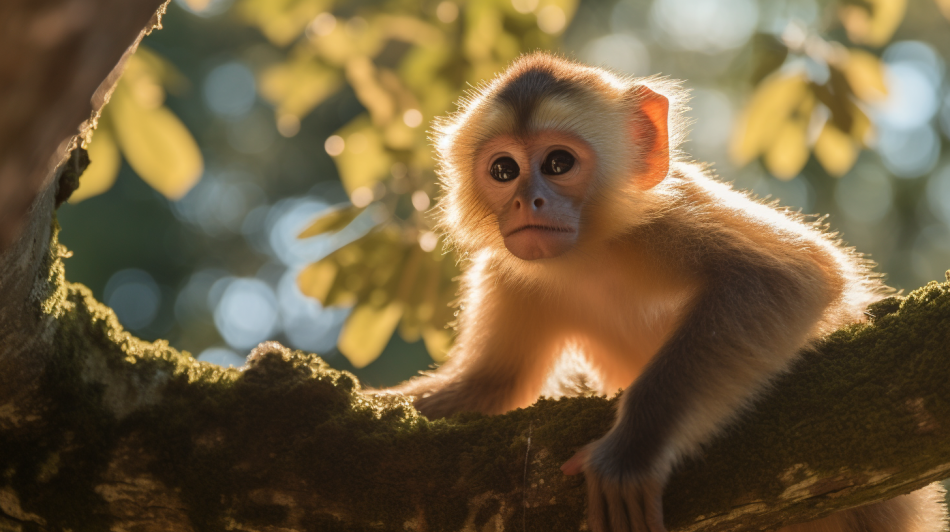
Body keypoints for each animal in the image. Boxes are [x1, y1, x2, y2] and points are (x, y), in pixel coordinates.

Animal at [384, 53, 948, 532]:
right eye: (504, 171)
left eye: (558, 163)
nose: (529, 201)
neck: (588, 255)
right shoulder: (507, 272)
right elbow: (490, 386)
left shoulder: (671, 217)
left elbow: (794, 274)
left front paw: (631, 452)